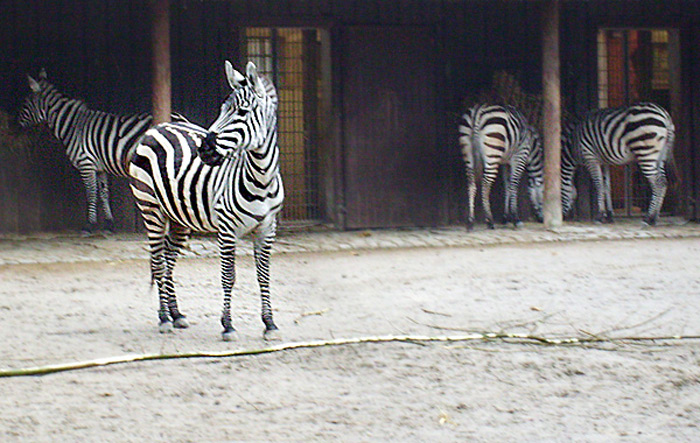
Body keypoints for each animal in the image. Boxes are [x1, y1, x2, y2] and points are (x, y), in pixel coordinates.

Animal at [17, 69, 185, 234]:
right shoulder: (100, 168)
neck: (73, 126)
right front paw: (109, 224)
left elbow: (91, 194)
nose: (17, 125)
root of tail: (180, 118)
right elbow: (104, 194)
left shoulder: (86, 163)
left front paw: (89, 225)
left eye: (25, 103)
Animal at [129, 60, 284, 342]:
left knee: (168, 261)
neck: (262, 177)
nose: (204, 150)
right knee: (158, 261)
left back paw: (175, 314)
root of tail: (158, 127)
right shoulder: (227, 228)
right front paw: (228, 325)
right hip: (150, 208)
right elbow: (228, 276)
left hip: (178, 218)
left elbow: (264, 276)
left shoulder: (267, 228)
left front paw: (269, 324)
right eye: (222, 110)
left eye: (242, 112)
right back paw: (164, 319)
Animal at [456, 103, 544, 231]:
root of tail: (478, 113)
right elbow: (513, 185)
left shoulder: (505, 162)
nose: (542, 219)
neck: (531, 147)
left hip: (468, 152)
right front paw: (515, 219)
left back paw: (470, 221)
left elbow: (507, 186)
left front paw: (505, 217)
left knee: (471, 184)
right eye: (544, 194)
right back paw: (490, 220)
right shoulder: (519, 157)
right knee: (485, 185)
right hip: (493, 152)